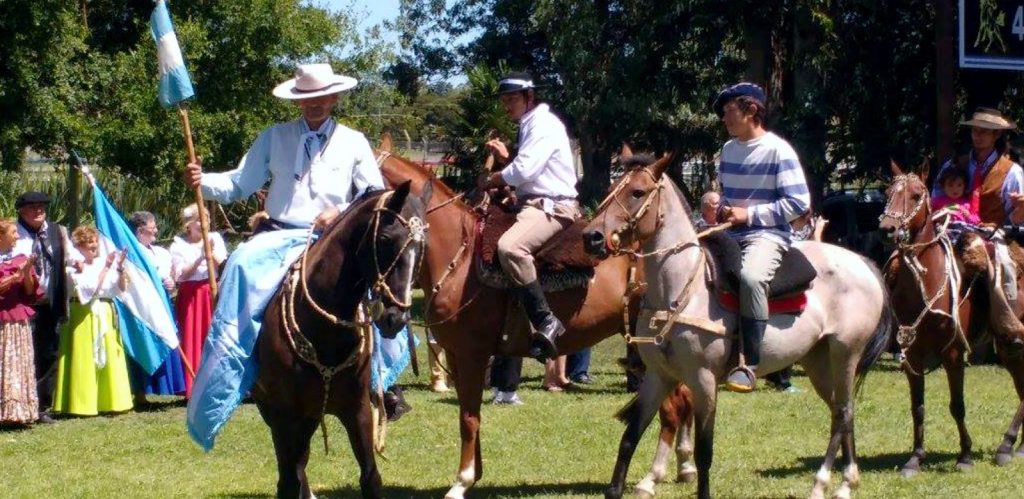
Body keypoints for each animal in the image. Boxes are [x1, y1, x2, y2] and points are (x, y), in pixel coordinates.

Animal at [253, 180, 434, 499]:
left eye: (422, 247)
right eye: (385, 238)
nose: (395, 318)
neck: (324, 330)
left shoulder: (358, 409)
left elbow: (370, 477)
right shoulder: (284, 415)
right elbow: (287, 482)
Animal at [585, 155, 897, 499]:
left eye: (637, 192)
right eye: (611, 189)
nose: (591, 237)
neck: (681, 291)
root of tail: (864, 263)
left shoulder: (704, 381)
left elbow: (704, 451)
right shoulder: (658, 377)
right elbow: (629, 439)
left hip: (845, 354)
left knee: (843, 413)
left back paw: (828, 483)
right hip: (818, 361)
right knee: (841, 410)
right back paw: (843, 482)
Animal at [876, 162, 1024, 477]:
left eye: (916, 194)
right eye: (888, 192)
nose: (888, 228)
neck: (926, 281)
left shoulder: (954, 352)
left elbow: (957, 405)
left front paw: (965, 455)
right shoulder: (911, 353)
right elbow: (917, 407)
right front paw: (915, 458)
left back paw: (1007, 446)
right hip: (1010, 348)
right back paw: (1014, 446)